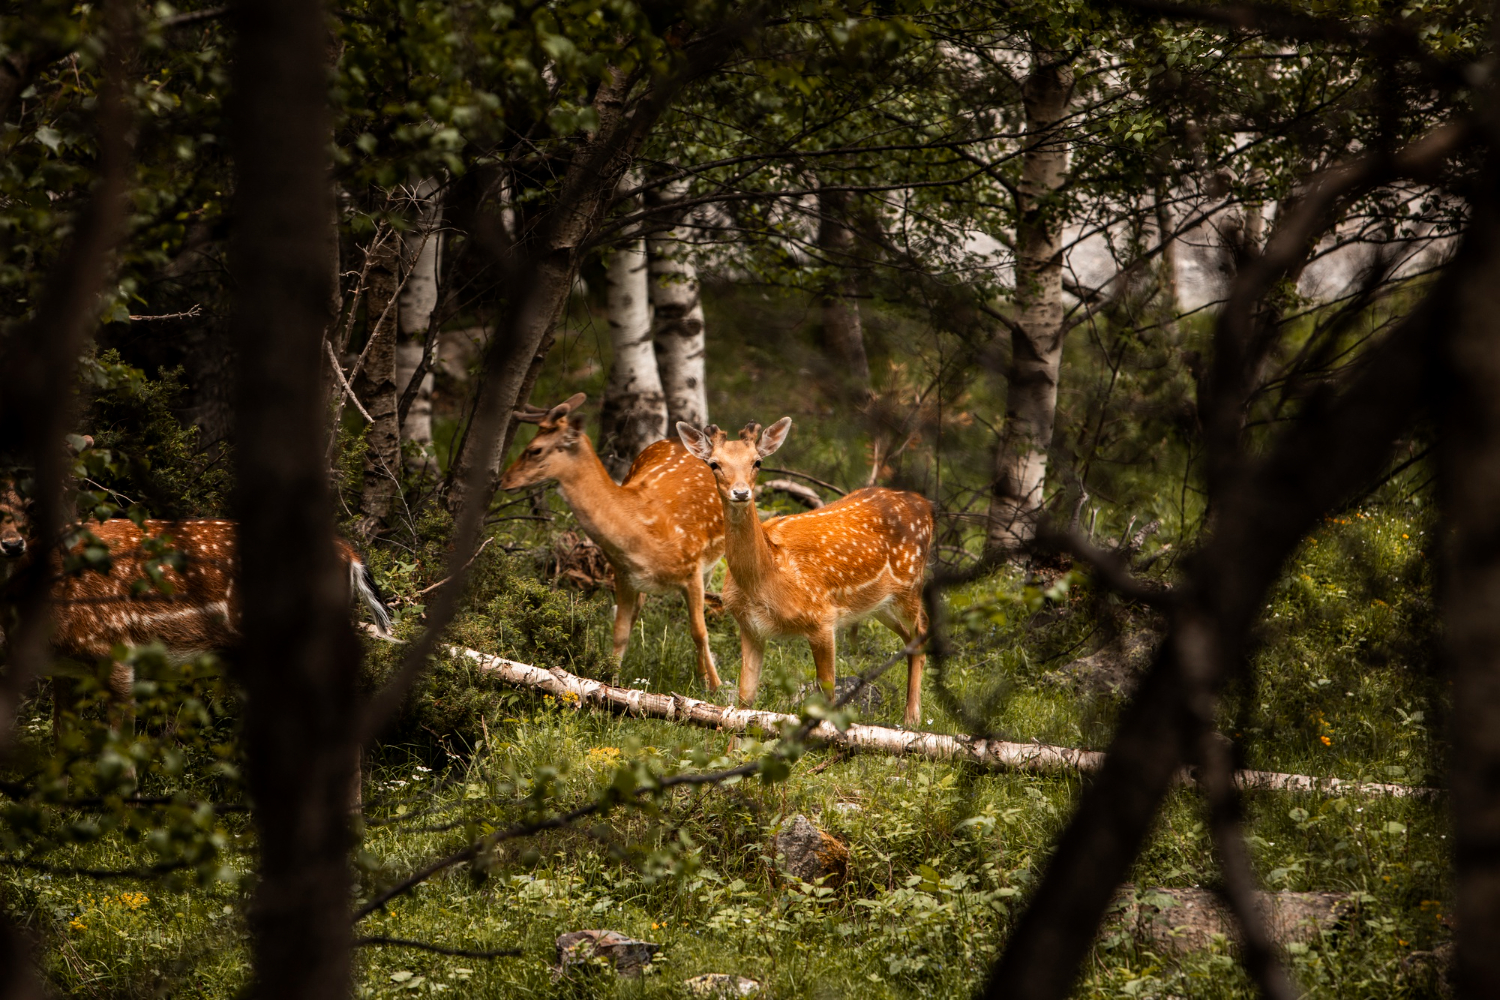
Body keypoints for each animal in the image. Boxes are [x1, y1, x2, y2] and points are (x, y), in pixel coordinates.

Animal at [499, 392, 725, 691]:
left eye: (535, 449)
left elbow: (699, 631)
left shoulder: (693, 568)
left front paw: (716, 687)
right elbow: (619, 632)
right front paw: (609, 683)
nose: (503, 481)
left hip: (715, 556)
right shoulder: (623, 574)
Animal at [676, 418, 933, 727]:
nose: (741, 492)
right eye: (714, 464)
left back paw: (912, 719)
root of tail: (926, 505)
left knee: (922, 629)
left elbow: (828, 695)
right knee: (910, 638)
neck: (765, 579)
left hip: (910, 584)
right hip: (879, 604)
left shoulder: (822, 618)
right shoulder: (750, 627)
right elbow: (744, 701)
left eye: (757, 462)